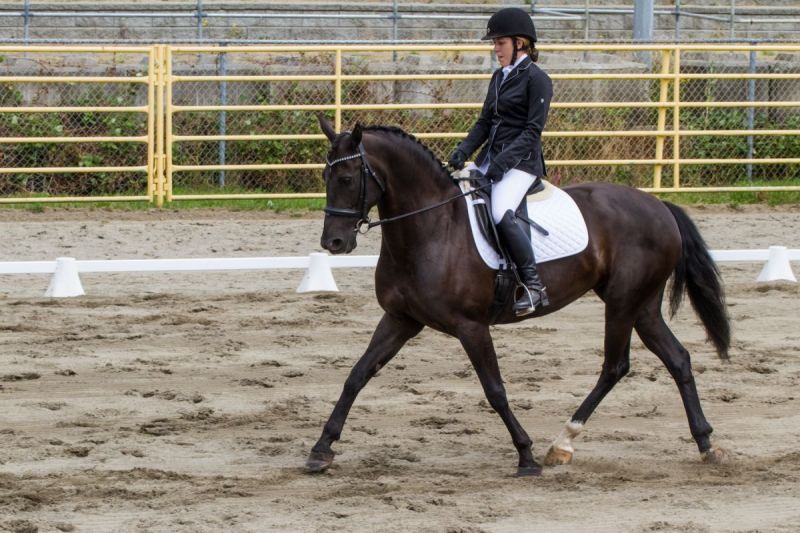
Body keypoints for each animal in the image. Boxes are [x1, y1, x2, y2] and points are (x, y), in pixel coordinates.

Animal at [306, 115, 731, 477]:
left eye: (347, 177)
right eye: (326, 174)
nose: (334, 243)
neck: (431, 228)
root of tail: (659, 206)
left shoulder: (471, 326)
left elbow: (495, 390)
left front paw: (526, 455)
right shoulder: (401, 319)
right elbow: (357, 375)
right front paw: (321, 449)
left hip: (624, 303)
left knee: (615, 366)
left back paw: (562, 443)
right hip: (642, 305)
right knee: (677, 359)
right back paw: (705, 444)